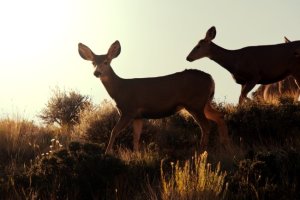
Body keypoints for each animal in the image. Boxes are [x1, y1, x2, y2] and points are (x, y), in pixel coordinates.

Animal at [78, 39, 230, 154]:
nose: (97, 73)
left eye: (106, 62)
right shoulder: (138, 116)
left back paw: (201, 151)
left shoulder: (128, 110)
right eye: (93, 63)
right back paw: (225, 147)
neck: (120, 90)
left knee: (206, 125)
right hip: (204, 103)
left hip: (195, 103)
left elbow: (114, 131)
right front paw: (136, 154)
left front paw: (107, 153)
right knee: (219, 116)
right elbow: (136, 136)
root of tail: (211, 79)